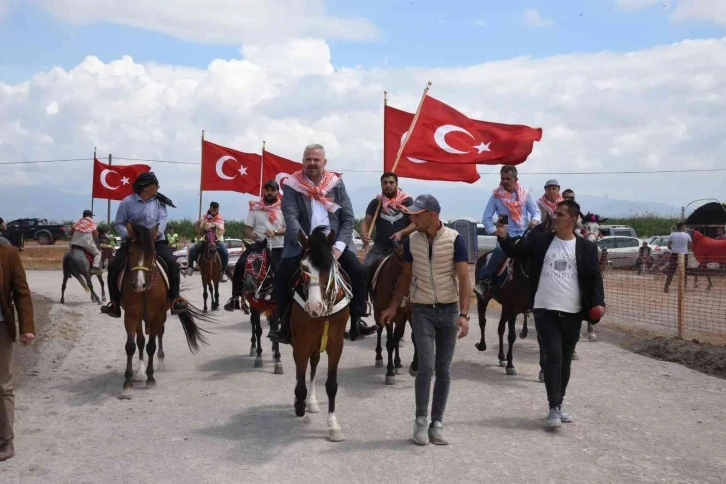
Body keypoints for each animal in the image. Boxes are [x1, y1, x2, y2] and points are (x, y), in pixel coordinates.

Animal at [119, 223, 210, 399]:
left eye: (152, 253)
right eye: (130, 252)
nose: (138, 284)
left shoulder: (156, 315)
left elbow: (152, 346)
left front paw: (151, 378)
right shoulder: (131, 315)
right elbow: (131, 346)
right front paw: (128, 383)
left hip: (160, 317)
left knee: (159, 335)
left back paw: (160, 363)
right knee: (141, 340)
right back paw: (140, 372)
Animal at [234, 238, 283, 374]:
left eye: (259, 261)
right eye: (245, 261)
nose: (248, 285)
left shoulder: (275, 309)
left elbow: (274, 330)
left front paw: (277, 360)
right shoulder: (255, 308)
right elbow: (258, 330)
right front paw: (258, 357)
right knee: (253, 324)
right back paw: (253, 347)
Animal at [290, 227, 351, 442]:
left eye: (329, 266)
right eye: (303, 267)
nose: (314, 306)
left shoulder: (336, 344)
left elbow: (331, 385)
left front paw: (333, 426)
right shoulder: (301, 342)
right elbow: (300, 380)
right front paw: (299, 404)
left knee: (314, 365)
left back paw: (312, 401)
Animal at [367, 243, 415, 385]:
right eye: (399, 269)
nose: (406, 296)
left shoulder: (407, 313)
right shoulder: (388, 316)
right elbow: (389, 343)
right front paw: (389, 373)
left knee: (396, 337)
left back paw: (397, 363)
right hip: (378, 310)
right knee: (379, 329)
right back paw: (379, 357)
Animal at [474, 230, 536, 377]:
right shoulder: (512, 309)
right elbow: (511, 336)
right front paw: (511, 365)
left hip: (504, 306)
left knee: (500, 328)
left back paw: (502, 357)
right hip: (483, 299)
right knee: (482, 321)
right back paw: (482, 345)